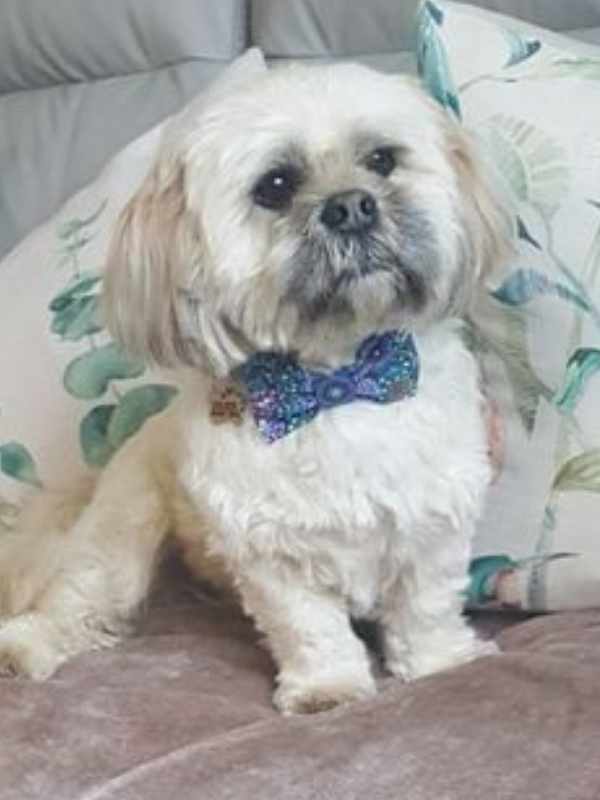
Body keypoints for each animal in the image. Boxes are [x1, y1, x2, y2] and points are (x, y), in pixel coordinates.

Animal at [0, 51, 510, 712]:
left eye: (381, 160)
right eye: (275, 186)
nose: (351, 205)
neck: (337, 385)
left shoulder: (433, 523)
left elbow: (426, 607)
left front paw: (439, 663)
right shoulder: (271, 554)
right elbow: (310, 627)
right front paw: (328, 688)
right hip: (122, 533)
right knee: (78, 599)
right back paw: (25, 645)